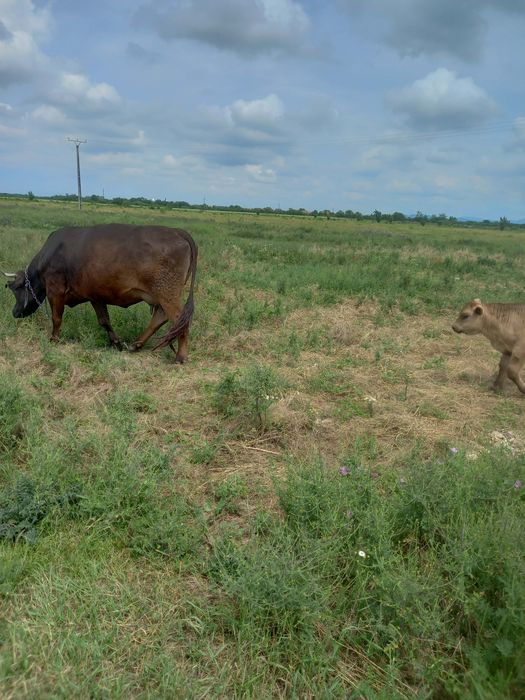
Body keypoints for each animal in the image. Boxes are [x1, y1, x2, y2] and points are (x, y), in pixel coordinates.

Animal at [3, 223, 197, 363]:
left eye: (16, 289)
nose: (14, 312)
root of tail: (177, 231)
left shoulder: (55, 290)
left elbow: (56, 318)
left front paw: (53, 340)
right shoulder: (95, 296)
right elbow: (104, 320)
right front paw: (115, 343)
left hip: (167, 293)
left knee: (179, 320)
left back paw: (180, 357)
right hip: (160, 295)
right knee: (160, 317)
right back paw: (135, 345)